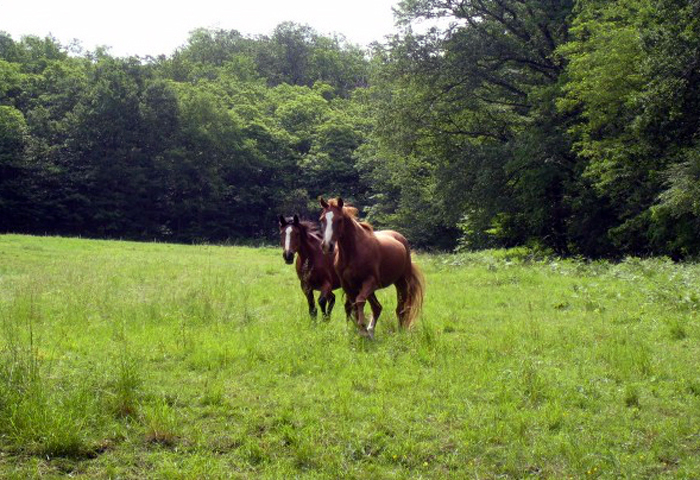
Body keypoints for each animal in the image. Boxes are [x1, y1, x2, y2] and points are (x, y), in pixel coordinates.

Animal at [318, 197, 426, 340]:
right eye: (322, 219)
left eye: (339, 219)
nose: (327, 246)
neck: (353, 252)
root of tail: (401, 239)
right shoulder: (348, 286)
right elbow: (354, 305)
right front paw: (361, 331)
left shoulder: (370, 281)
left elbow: (359, 302)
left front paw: (362, 329)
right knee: (377, 307)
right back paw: (371, 332)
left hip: (401, 283)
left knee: (401, 308)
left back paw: (399, 332)